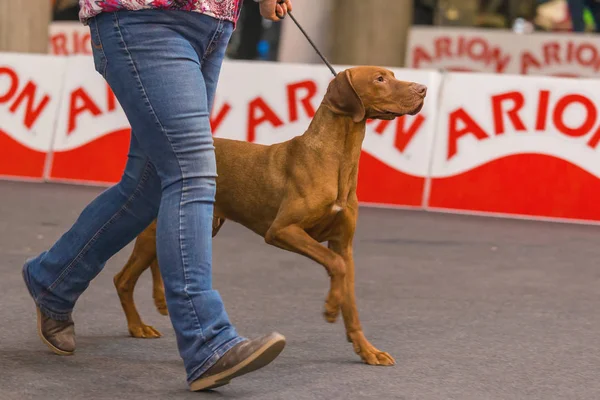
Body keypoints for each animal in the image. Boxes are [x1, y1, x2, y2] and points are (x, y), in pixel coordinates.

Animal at [110, 65, 424, 366]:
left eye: (392, 75)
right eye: (380, 78)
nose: (423, 89)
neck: (339, 159)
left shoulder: (343, 244)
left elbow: (350, 297)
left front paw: (367, 350)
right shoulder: (282, 230)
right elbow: (335, 265)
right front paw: (331, 306)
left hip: (198, 224)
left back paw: (159, 301)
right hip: (158, 227)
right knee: (122, 279)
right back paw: (137, 326)